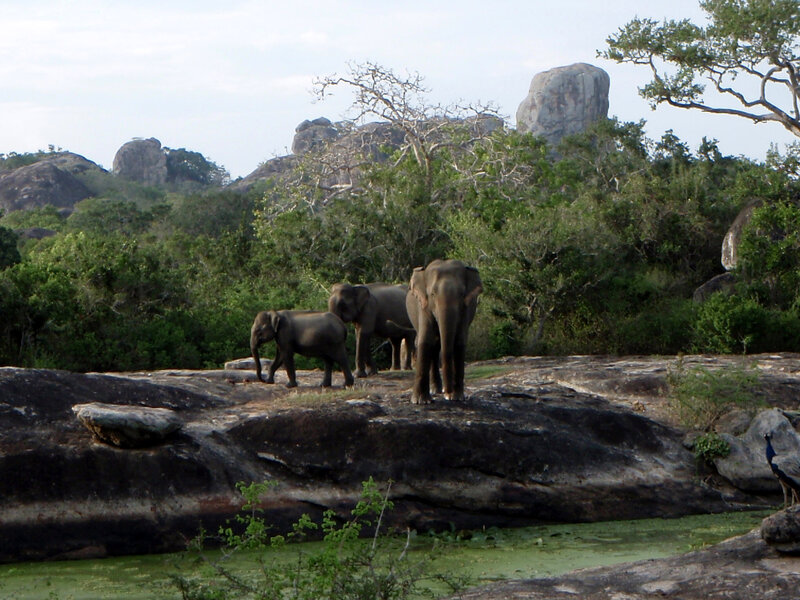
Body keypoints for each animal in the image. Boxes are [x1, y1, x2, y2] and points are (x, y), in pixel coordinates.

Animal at [405, 259, 482, 404]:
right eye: (432, 294)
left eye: (462, 294)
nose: (447, 391)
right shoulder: (423, 305)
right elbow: (426, 339)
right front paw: (420, 401)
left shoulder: (466, 309)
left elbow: (459, 341)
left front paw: (457, 397)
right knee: (433, 344)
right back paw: (435, 391)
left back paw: (438, 390)